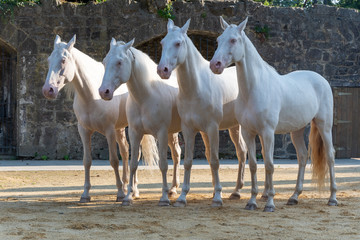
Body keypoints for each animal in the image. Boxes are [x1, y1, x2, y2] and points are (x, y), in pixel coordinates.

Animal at [42, 34, 158, 202]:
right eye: (49, 59)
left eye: (63, 60)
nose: (48, 90)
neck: (90, 96)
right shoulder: (84, 131)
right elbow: (87, 161)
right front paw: (85, 194)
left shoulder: (109, 131)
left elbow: (113, 160)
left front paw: (120, 193)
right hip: (120, 129)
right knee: (125, 151)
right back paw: (126, 185)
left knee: (134, 155)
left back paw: (133, 190)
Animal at [98, 38, 183, 205]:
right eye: (104, 61)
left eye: (119, 62)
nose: (104, 92)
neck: (146, 97)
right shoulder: (135, 133)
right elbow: (133, 164)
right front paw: (128, 197)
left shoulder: (161, 133)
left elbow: (163, 165)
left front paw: (163, 198)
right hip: (172, 133)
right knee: (177, 154)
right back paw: (173, 189)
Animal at [158, 18, 248, 207]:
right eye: (162, 43)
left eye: (178, 43)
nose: (162, 70)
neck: (197, 88)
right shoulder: (189, 129)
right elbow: (188, 161)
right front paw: (182, 197)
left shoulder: (213, 128)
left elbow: (214, 161)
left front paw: (218, 197)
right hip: (233, 127)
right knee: (242, 152)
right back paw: (235, 191)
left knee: (243, 153)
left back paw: (237, 191)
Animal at [211, 17, 338, 212]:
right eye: (218, 40)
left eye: (233, 40)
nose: (215, 65)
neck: (253, 90)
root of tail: (321, 79)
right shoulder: (248, 133)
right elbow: (254, 165)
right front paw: (252, 201)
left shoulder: (268, 132)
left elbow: (270, 165)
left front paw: (269, 203)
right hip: (297, 130)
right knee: (302, 156)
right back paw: (294, 197)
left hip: (324, 126)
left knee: (330, 155)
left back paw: (332, 198)